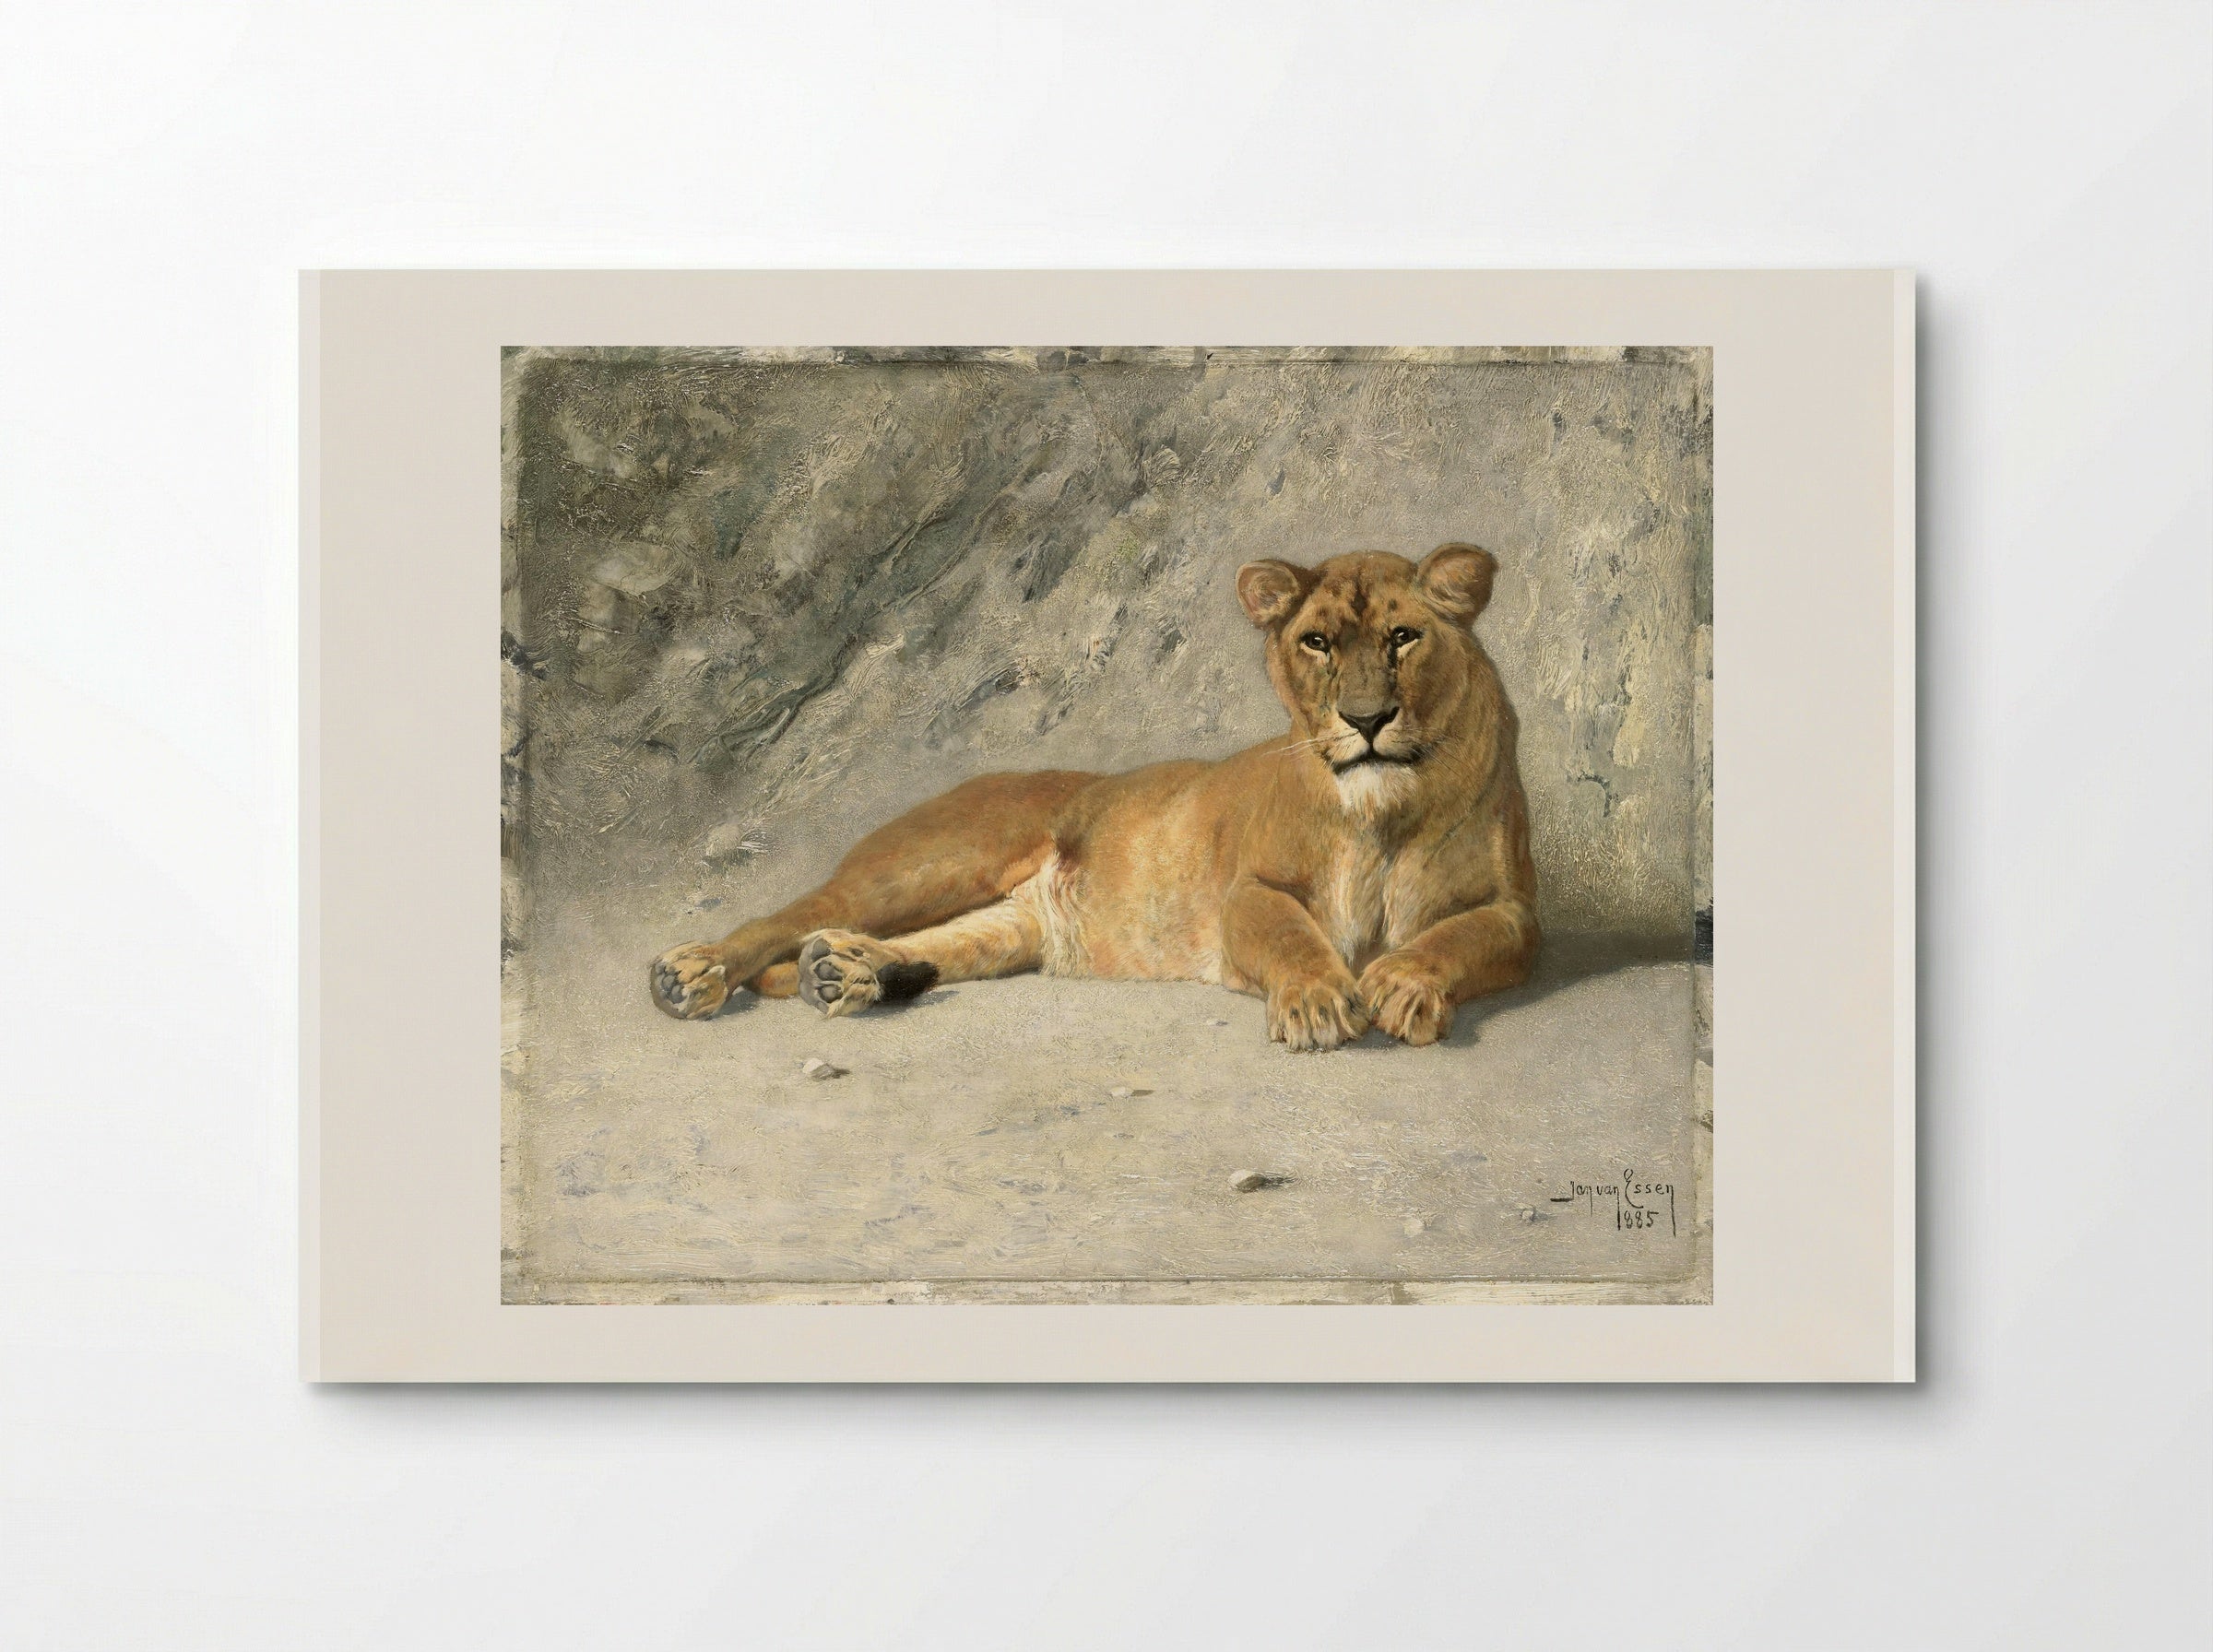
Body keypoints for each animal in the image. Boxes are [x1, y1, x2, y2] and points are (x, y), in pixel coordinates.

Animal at [649, 544, 1538, 1050]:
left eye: (1403, 637)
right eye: (1317, 642)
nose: (1366, 719)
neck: (1383, 810)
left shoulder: (1516, 913)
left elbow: (1458, 938)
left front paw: (1405, 983)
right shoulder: (1249, 892)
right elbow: (1291, 934)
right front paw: (1320, 1002)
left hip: (1010, 928)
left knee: (928, 944)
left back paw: (846, 974)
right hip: (931, 863)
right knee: (794, 916)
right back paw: (692, 975)